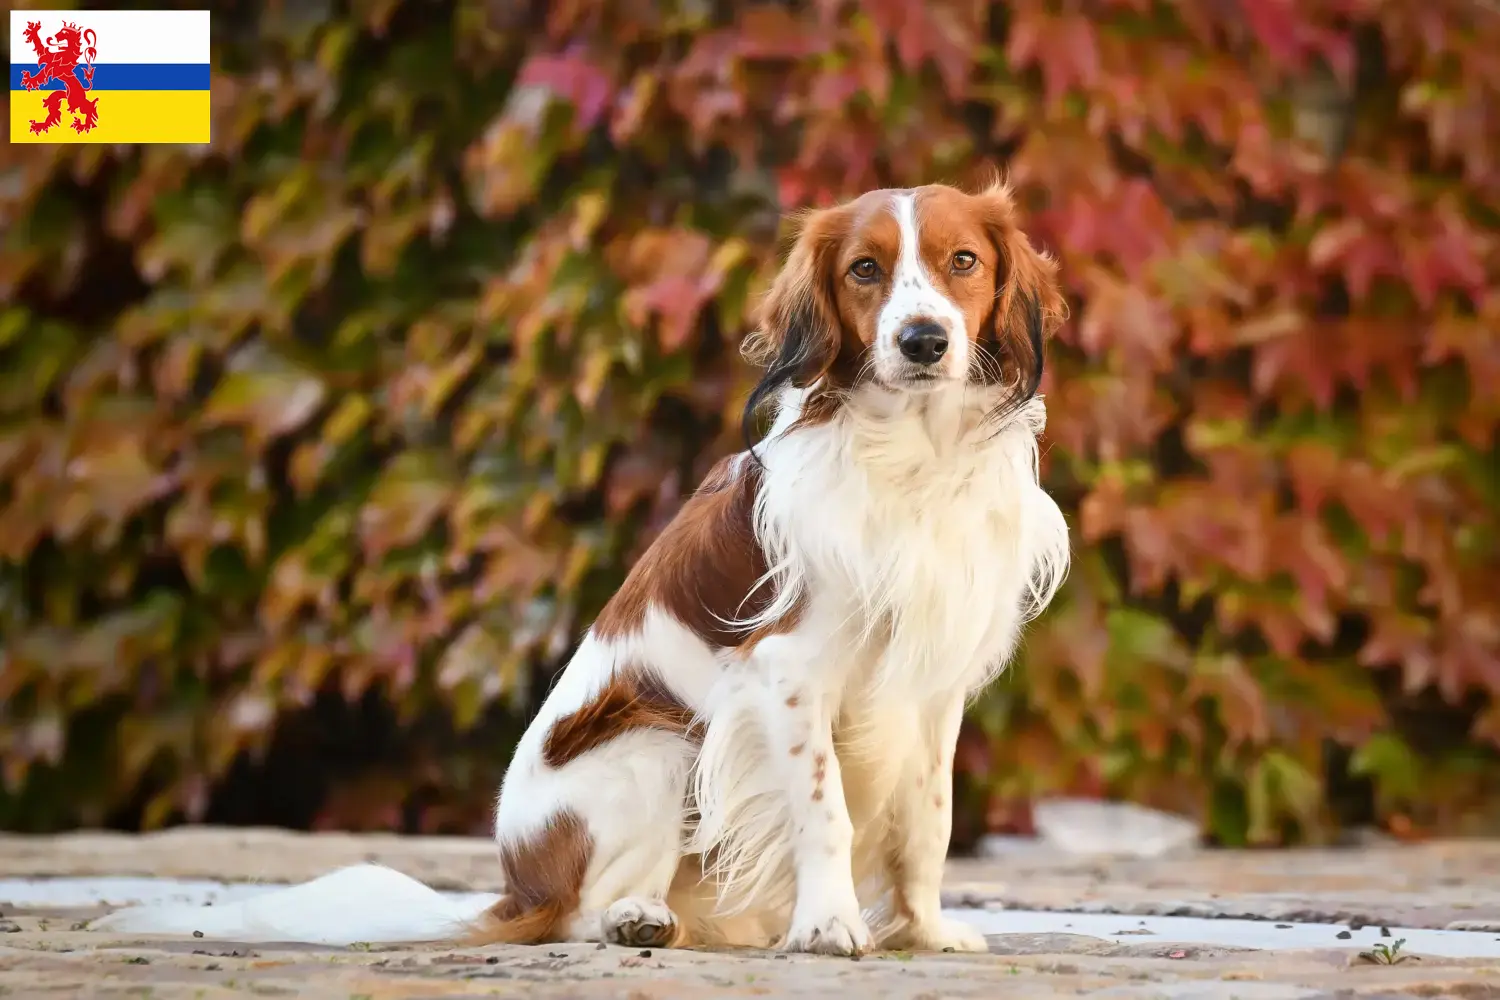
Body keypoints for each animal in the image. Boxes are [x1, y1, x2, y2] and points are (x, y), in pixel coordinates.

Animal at [93, 183, 1074, 959]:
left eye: (962, 261)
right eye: (865, 270)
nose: (922, 340)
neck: (914, 458)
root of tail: (517, 883)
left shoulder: (932, 688)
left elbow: (929, 822)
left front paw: (926, 931)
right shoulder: (787, 674)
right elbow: (825, 809)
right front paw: (830, 926)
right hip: (659, 749)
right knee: (573, 917)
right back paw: (633, 920)